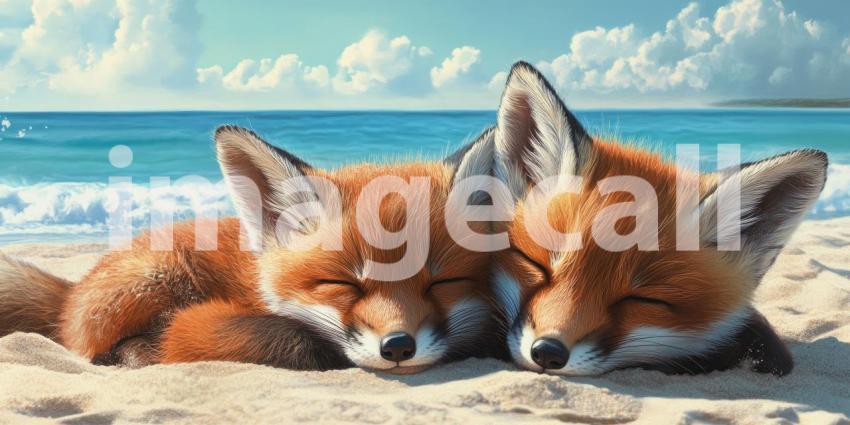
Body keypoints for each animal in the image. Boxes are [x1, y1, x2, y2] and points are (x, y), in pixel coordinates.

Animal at [0, 124, 502, 373]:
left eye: (443, 282)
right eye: (341, 284)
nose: (398, 346)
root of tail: (70, 292)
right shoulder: (203, 322)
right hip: (151, 279)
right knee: (93, 345)